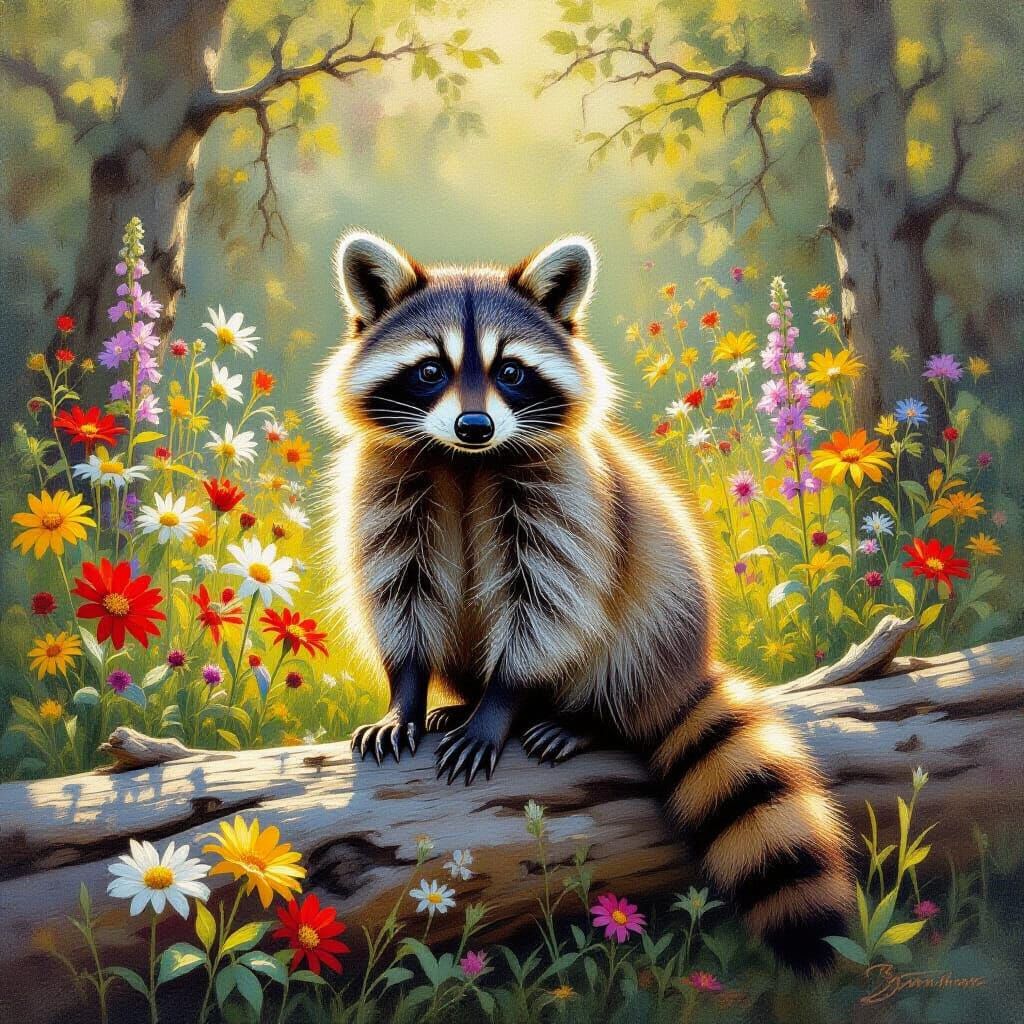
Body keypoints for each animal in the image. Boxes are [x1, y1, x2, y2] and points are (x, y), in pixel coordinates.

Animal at [313, 230, 854, 973]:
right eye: (430, 370)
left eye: (511, 371)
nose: (475, 424)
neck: (465, 461)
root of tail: (686, 669)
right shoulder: (388, 484)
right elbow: (401, 592)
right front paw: (408, 695)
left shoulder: (566, 495)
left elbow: (548, 603)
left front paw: (502, 704)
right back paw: (460, 702)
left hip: (657, 625)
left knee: (620, 644)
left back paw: (576, 716)